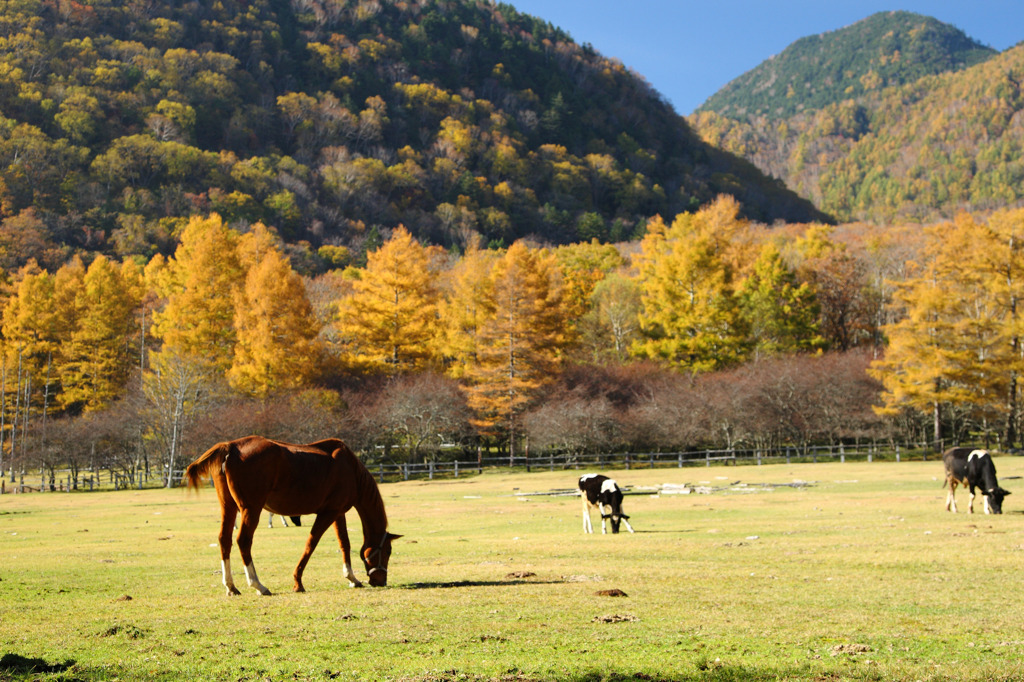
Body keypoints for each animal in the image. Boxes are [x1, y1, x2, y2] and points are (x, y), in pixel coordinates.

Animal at [182, 432, 397, 593]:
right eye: (387, 551)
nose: (381, 580)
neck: (351, 469)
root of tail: (232, 446)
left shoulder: (337, 513)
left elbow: (344, 543)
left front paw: (352, 578)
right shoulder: (328, 513)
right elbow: (311, 544)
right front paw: (298, 581)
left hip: (229, 507)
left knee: (224, 540)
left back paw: (231, 586)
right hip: (251, 509)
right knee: (243, 540)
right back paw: (258, 585)